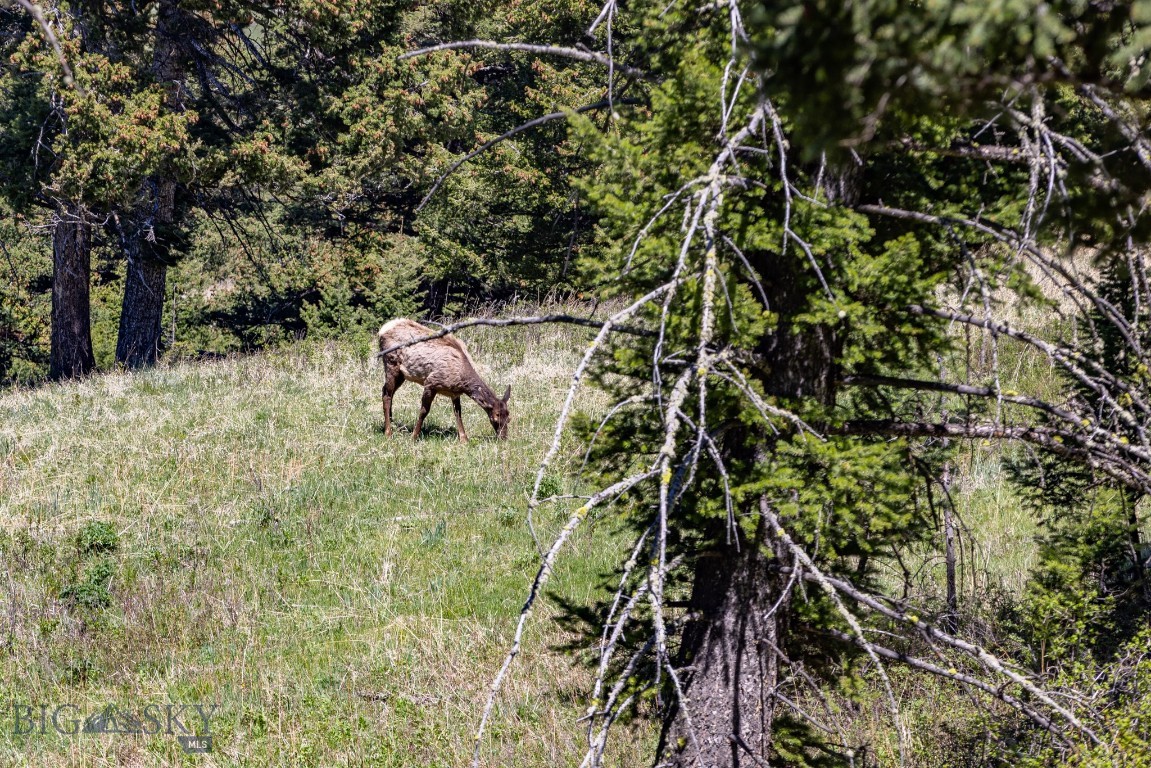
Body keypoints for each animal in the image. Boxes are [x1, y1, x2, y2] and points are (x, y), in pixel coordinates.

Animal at [377, 318, 510, 442]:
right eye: (495, 417)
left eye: (509, 417)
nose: (503, 437)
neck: (462, 381)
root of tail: (382, 330)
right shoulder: (431, 382)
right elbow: (424, 411)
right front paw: (414, 437)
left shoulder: (455, 393)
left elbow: (458, 412)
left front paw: (464, 439)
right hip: (391, 363)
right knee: (387, 395)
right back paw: (388, 432)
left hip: (401, 375)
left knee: (387, 392)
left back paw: (391, 423)